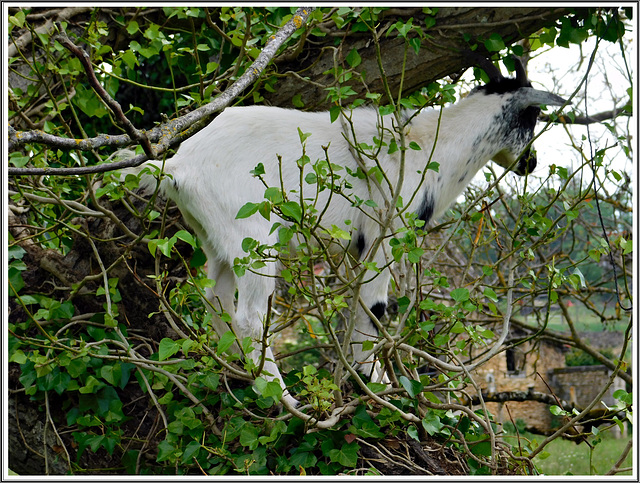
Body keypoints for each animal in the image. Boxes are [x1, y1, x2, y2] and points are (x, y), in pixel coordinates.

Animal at [122, 57, 568, 408]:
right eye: (532, 117)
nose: (531, 164)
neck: (430, 146)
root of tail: (178, 167)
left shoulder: (359, 247)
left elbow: (355, 309)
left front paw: (362, 378)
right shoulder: (384, 237)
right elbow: (375, 308)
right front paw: (377, 386)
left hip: (216, 237)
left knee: (215, 297)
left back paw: (238, 367)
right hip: (253, 236)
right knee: (250, 314)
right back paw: (282, 397)